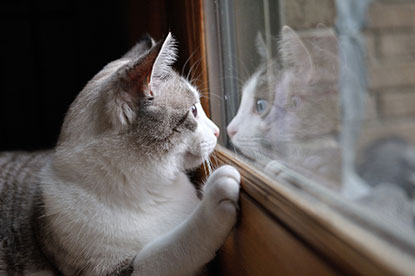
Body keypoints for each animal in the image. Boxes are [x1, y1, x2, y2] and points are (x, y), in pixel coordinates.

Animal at [0, 33, 240, 276]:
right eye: (193, 110)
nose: (217, 130)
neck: (156, 191)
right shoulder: (111, 270)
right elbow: (170, 249)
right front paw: (218, 192)